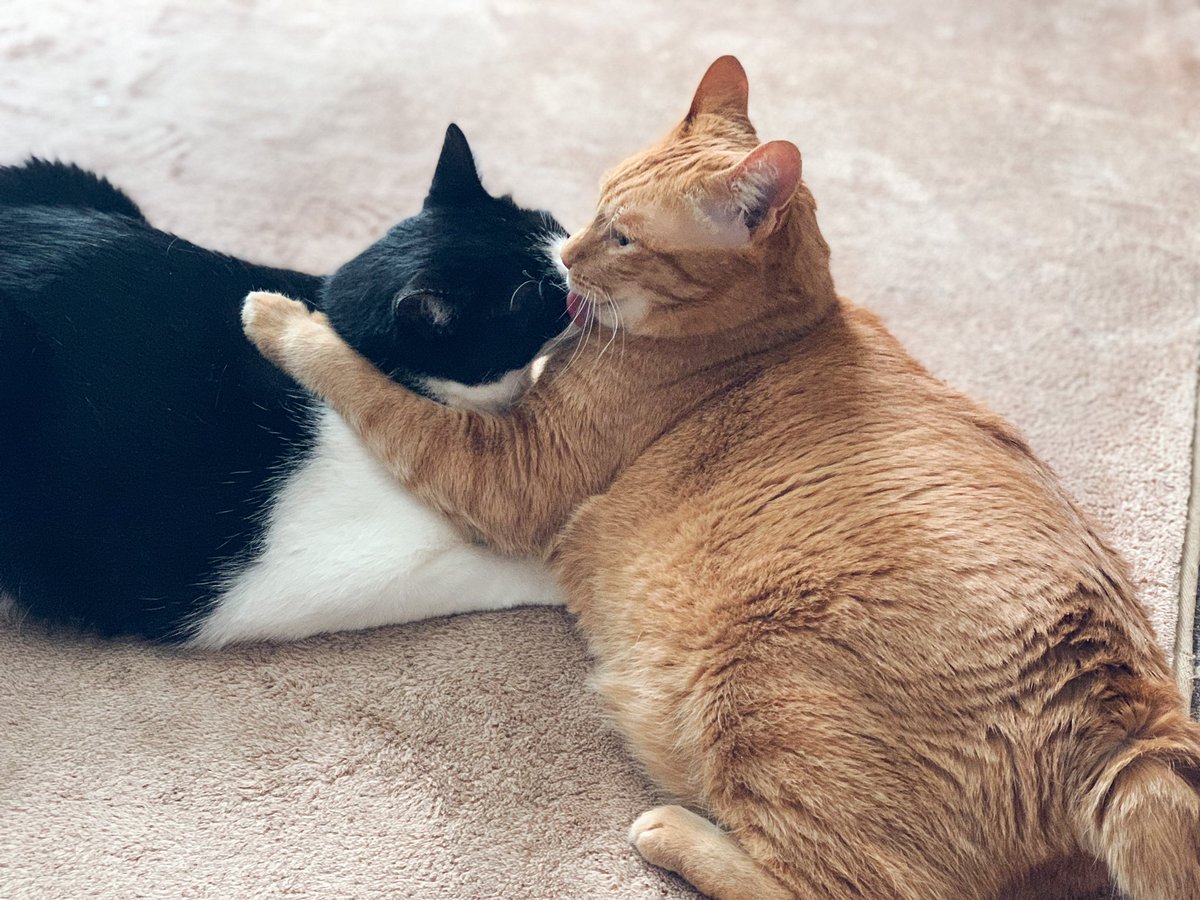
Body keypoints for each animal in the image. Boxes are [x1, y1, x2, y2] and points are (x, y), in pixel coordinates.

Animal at [242, 59, 1199, 899]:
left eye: (623, 235)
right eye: (587, 208)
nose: (563, 259)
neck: (773, 328)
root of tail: (1135, 726)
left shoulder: (512, 473)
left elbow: (377, 389)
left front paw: (284, 318)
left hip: (760, 697)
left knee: (852, 888)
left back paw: (674, 830)